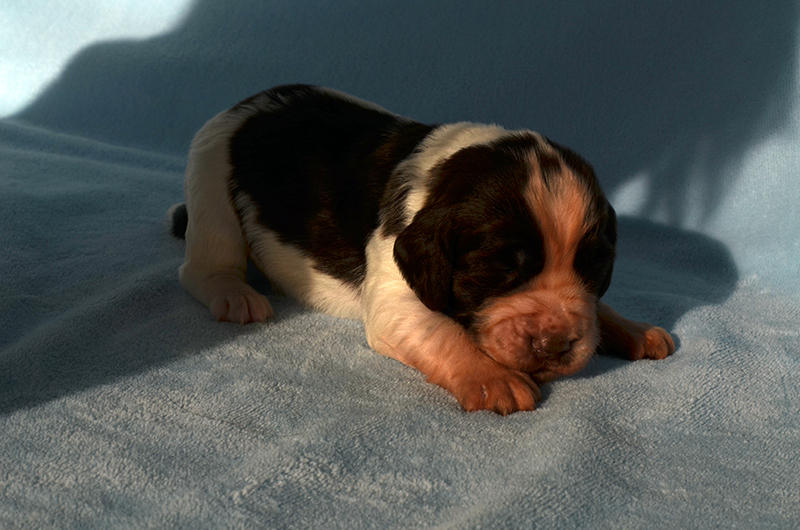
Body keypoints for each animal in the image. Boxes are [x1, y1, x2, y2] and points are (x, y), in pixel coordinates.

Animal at [169, 83, 676, 412]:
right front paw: (494, 379)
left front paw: (634, 328)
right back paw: (235, 295)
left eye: (594, 268)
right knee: (202, 266)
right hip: (211, 184)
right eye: (499, 268)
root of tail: (245, 104)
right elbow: (442, 330)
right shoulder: (395, 294)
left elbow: (596, 310)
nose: (554, 343)